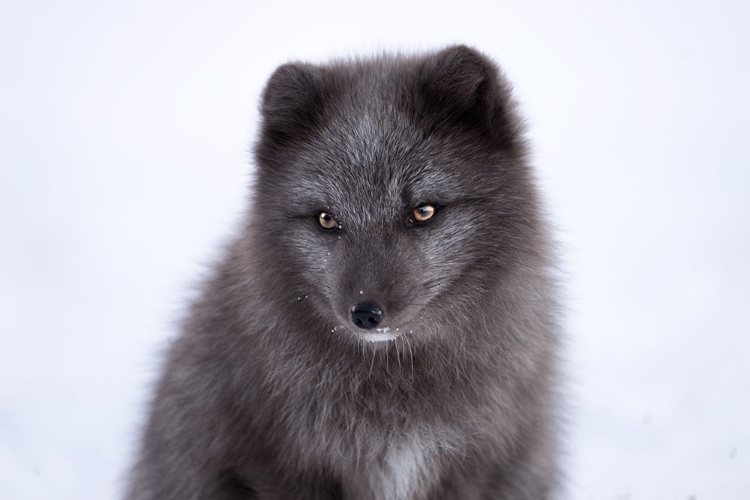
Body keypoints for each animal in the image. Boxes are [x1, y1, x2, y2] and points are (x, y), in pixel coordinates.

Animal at [126, 45, 564, 498]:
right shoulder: (282, 465)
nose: (366, 313)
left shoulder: (476, 464)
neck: (392, 387)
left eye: (423, 211)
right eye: (326, 219)